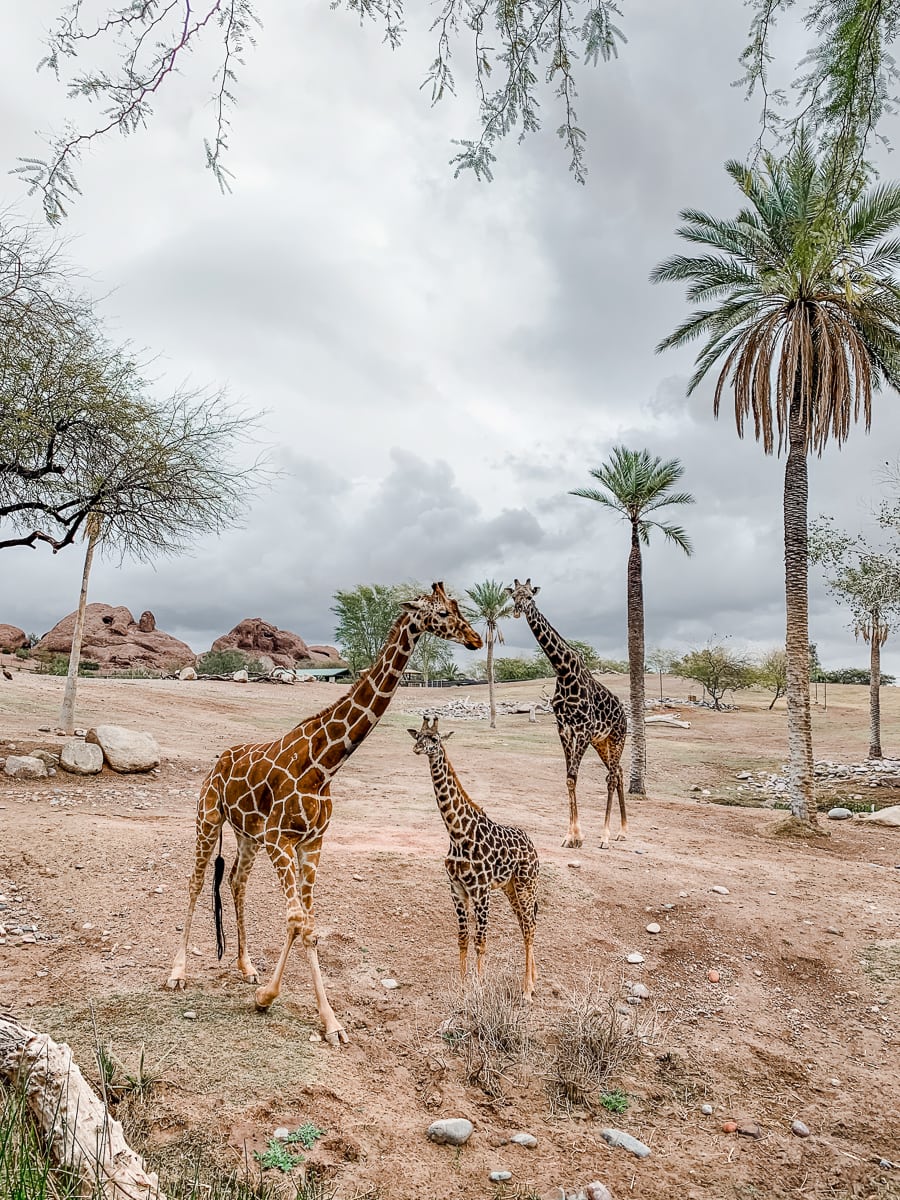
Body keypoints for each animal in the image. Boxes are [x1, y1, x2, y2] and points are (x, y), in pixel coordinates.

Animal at [165, 580, 482, 1041]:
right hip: (208, 818)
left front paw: (323, 1019)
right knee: (194, 881)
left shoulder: (311, 843)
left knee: (237, 882)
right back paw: (177, 973)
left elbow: (308, 925)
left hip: (246, 833)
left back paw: (246, 966)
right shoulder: (281, 840)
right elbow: (299, 921)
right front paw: (273, 1001)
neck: (325, 763)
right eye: (441, 613)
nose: (476, 639)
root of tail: (218, 761)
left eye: (457, 607)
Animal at [410, 715, 542, 998]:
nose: (417, 749)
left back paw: (527, 989)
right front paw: (462, 988)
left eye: (434, 738)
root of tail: (533, 847)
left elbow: (481, 941)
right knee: (525, 924)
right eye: (418, 736)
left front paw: (479, 988)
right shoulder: (457, 889)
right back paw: (533, 979)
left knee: (529, 927)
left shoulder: (481, 890)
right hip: (510, 887)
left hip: (527, 884)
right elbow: (463, 938)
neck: (457, 834)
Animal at [508, 583, 628, 854]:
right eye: (513, 595)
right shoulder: (564, 728)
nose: (518, 610)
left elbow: (573, 776)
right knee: (619, 772)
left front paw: (578, 836)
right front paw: (572, 836)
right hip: (601, 742)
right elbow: (569, 779)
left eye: (529, 596)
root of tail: (625, 713)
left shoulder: (582, 728)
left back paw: (607, 836)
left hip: (617, 736)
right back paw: (623, 832)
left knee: (612, 776)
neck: (562, 671)